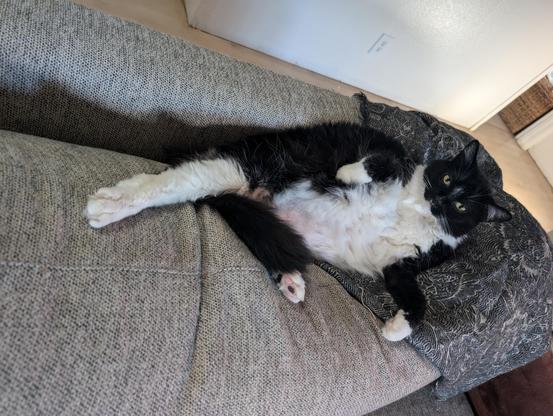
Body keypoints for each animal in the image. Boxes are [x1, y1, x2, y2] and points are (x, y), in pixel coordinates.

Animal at [84, 122, 512, 342]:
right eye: (446, 177)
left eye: (462, 207)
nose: (439, 199)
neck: (414, 209)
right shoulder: (396, 158)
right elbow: (378, 162)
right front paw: (347, 174)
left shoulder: (402, 266)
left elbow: (417, 301)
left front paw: (396, 330)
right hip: (242, 166)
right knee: (168, 182)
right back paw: (110, 205)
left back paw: (291, 279)